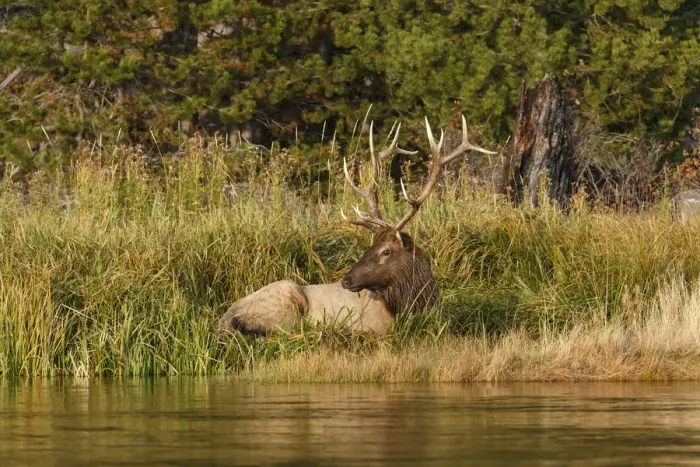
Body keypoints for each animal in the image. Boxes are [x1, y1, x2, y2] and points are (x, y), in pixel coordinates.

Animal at [218, 115, 496, 335]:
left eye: (385, 251)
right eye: (369, 247)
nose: (346, 280)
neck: (415, 308)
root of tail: (224, 318)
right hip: (286, 303)